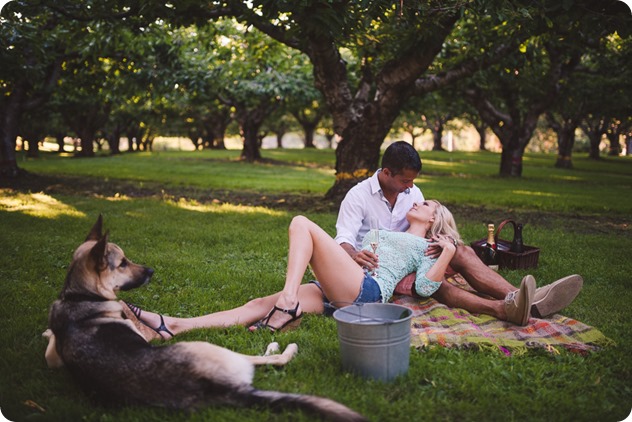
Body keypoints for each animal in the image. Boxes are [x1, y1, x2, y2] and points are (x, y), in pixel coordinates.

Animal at [43, 218, 366, 422]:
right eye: (122, 263)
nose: (150, 271)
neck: (78, 297)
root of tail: (225, 391)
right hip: (215, 349)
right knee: (268, 357)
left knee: (268, 358)